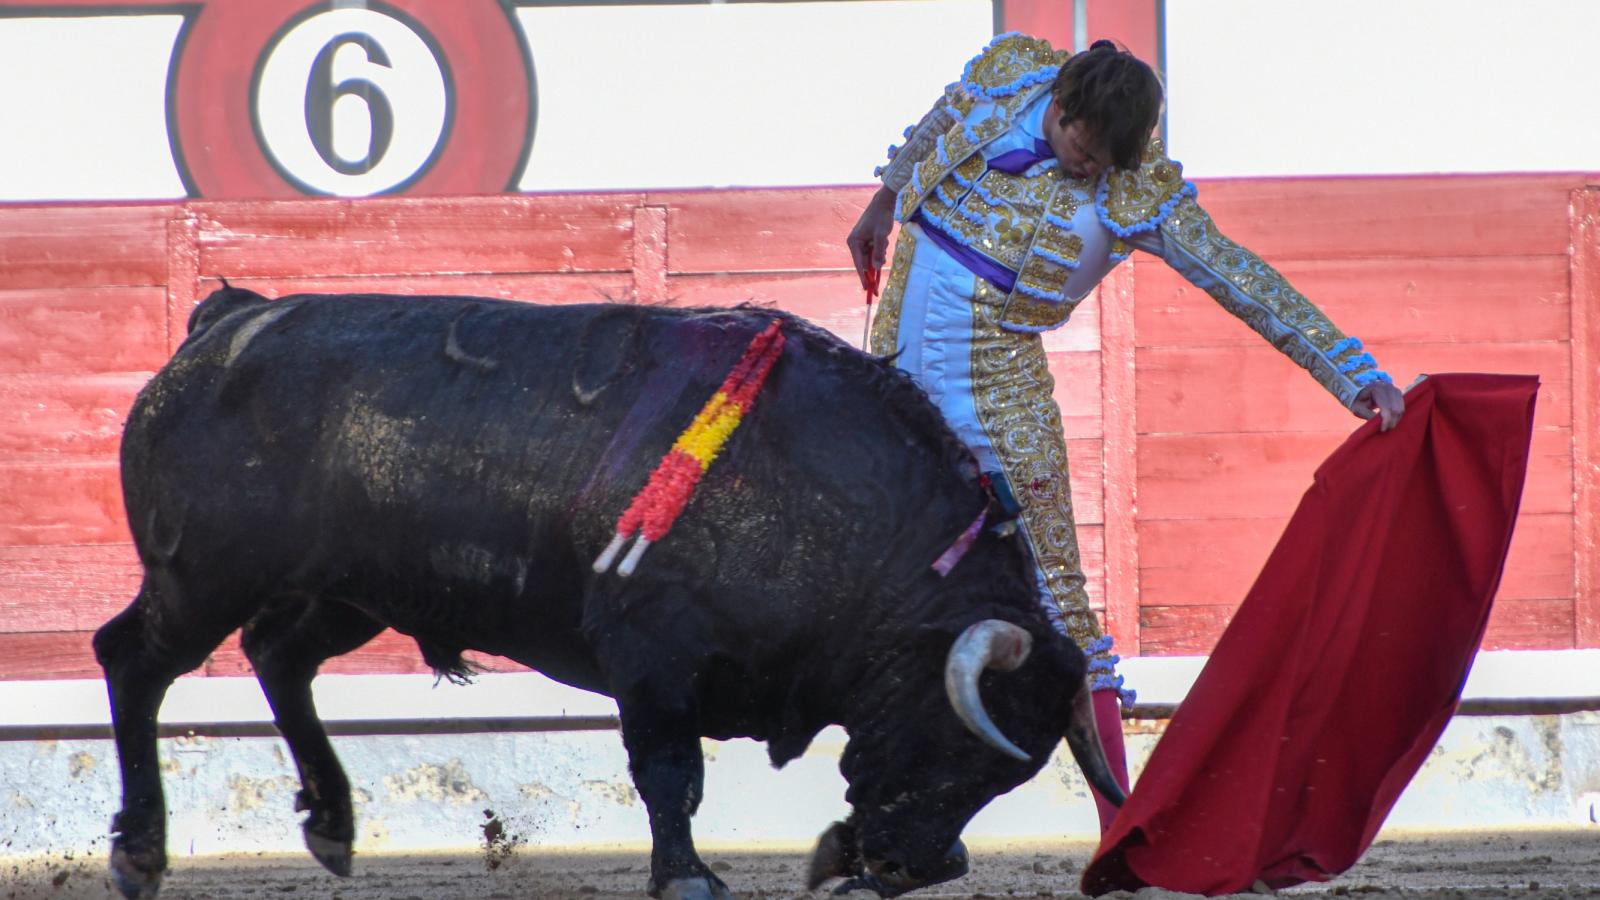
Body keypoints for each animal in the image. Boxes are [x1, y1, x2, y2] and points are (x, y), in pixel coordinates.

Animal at [96, 288, 1126, 896]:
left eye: (1009, 775)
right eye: (954, 738)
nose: (912, 868)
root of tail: (227, 323)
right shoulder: (652, 657)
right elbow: (669, 772)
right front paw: (688, 878)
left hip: (349, 593)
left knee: (279, 655)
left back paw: (334, 823)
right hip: (202, 576)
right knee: (134, 659)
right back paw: (141, 850)